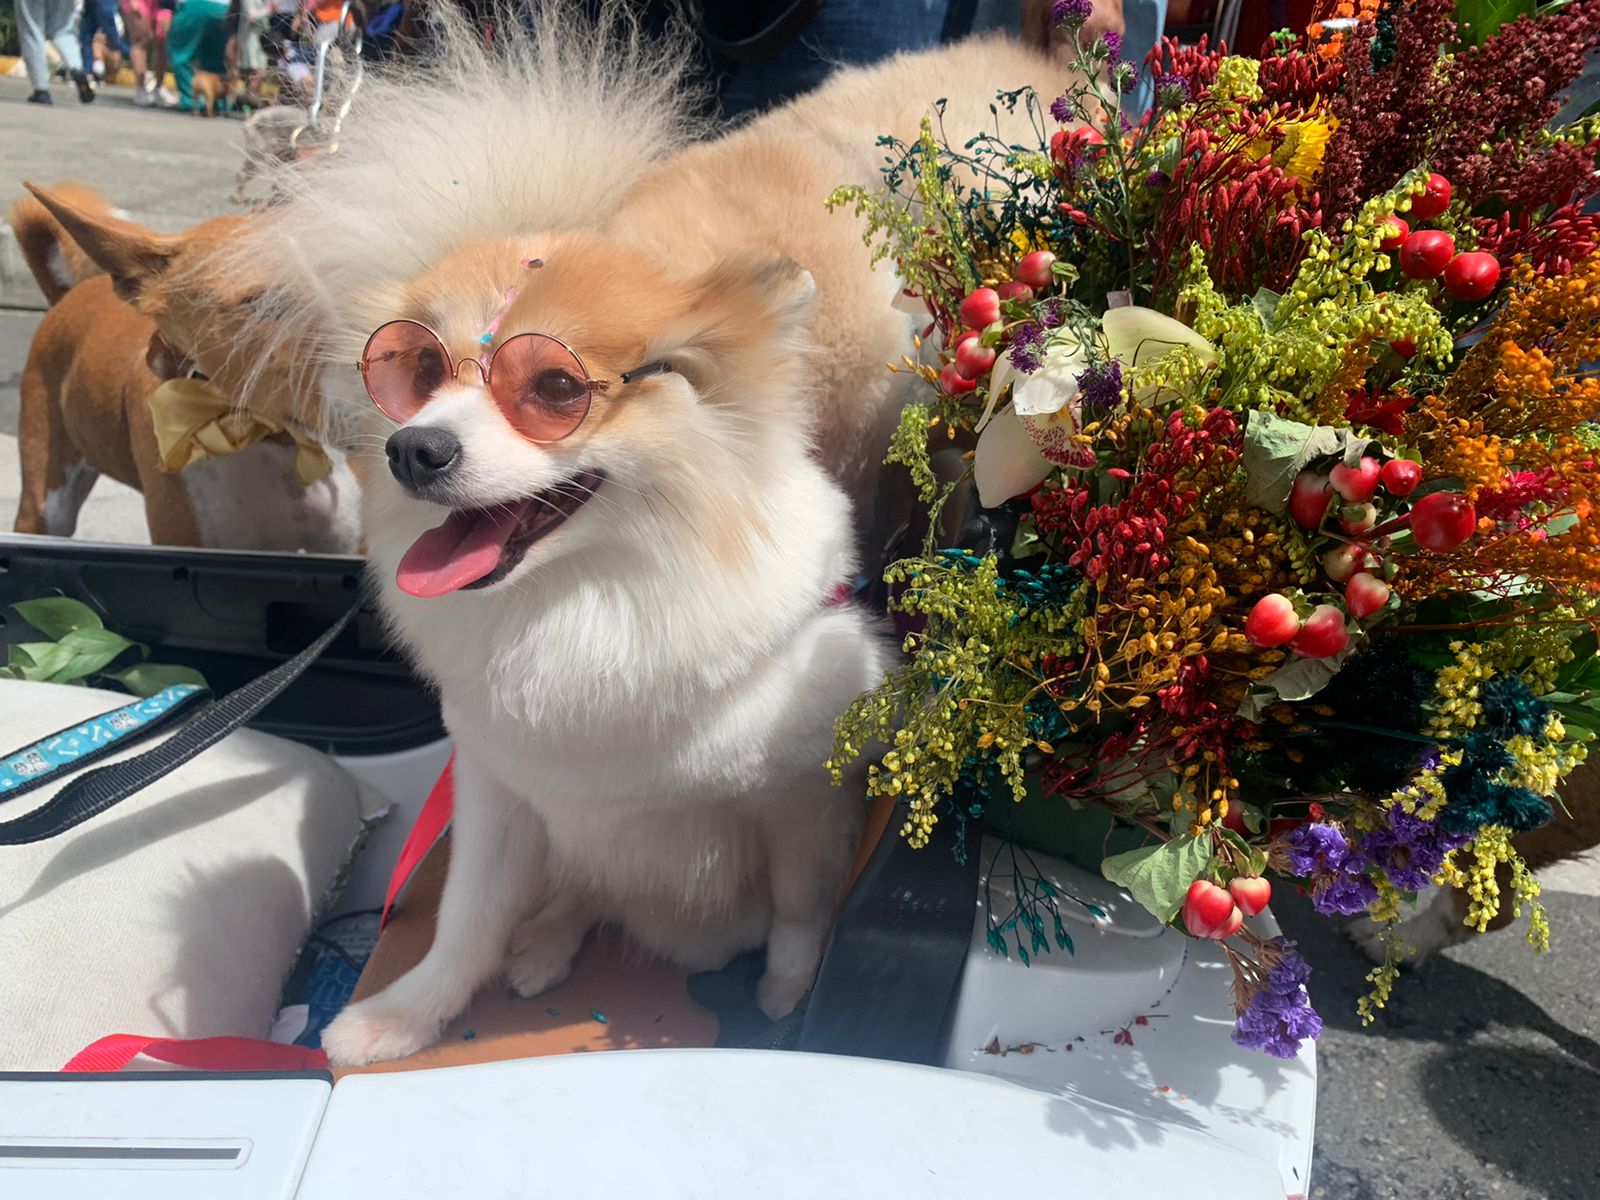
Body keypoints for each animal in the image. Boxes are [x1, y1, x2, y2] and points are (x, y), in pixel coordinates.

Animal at [233, 4, 1062, 1068]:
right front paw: (404, 1016)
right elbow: (466, 924)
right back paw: (546, 944)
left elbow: (801, 910)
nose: (414, 449)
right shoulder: (501, 786)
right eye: (415, 374)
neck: (592, 598)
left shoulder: (802, 796)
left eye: (553, 388)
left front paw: (789, 996)